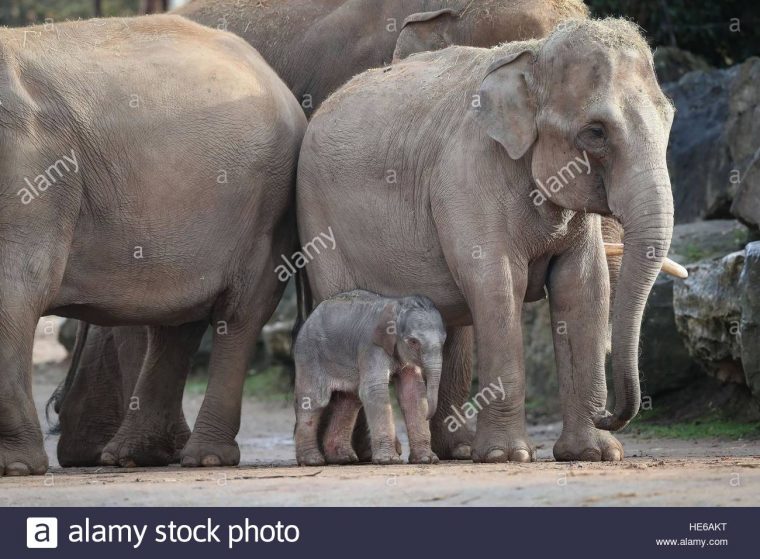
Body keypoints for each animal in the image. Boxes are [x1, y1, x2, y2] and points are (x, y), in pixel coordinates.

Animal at [2, 14, 306, 476]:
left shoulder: (34, 175)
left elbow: (18, 290)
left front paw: (16, 468)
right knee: (178, 320)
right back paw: (132, 455)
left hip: (267, 208)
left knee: (239, 314)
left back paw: (205, 457)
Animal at [292, 290, 446, 466]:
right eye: (413, 341)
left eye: (444, 341)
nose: (429, 416)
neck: (396, 304)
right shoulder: (371, 347)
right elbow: (374, 391)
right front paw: (389, 460)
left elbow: (412, 392)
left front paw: (427, 459)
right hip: (309, 356)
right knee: (315, 401)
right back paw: (312, 461)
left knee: (348, 401)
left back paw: (343, 458)